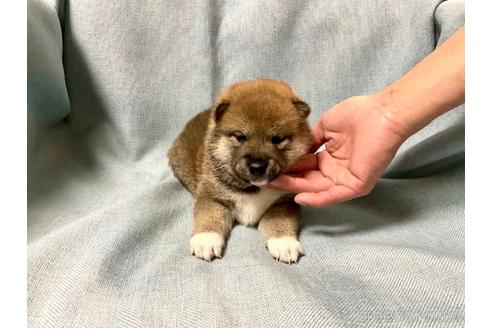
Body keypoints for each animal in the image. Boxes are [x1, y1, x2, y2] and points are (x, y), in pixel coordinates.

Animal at [167, 80, 310, 264]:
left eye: (277, 139)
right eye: (240, 137)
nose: (257, 166)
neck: (254, 188)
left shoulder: (284, 202)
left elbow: (280, 221)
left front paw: (284, 242)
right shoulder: (212, 196)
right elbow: (209, 216)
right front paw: (206, 240)